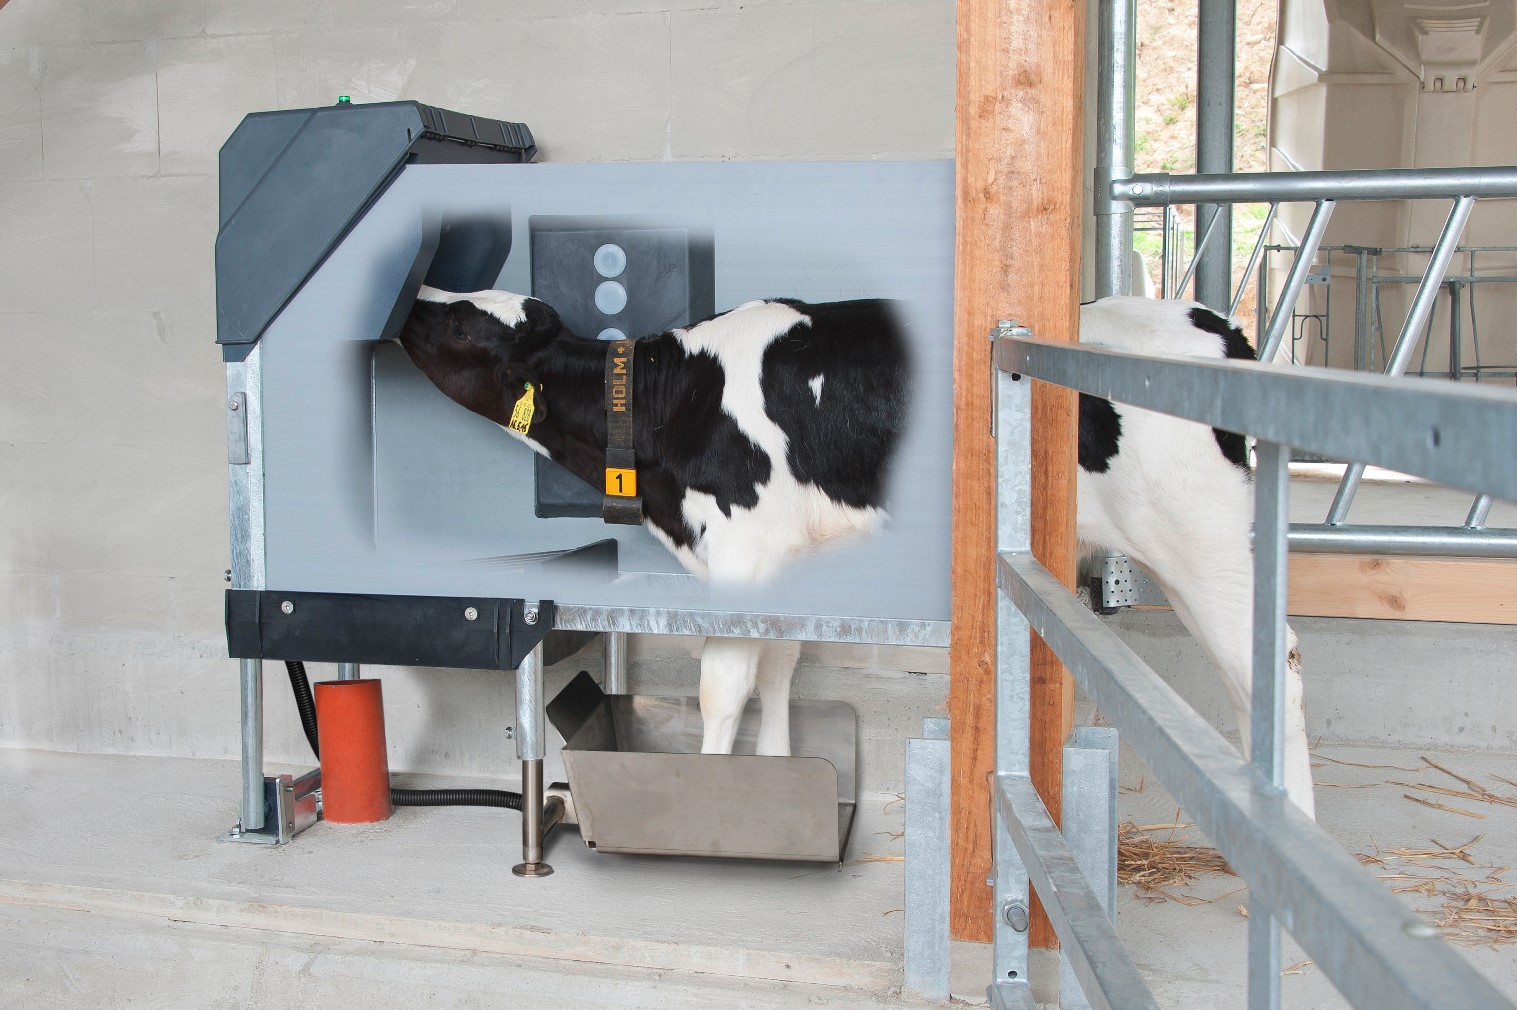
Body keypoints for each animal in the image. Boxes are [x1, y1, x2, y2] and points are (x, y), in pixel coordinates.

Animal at [400, 285, 1316, 818]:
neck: (670, 402)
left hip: (1202, 541)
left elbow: (722, 689)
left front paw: (707, 795)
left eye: (459, 319)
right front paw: (774, 777)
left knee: (1267, 669)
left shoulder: (740, 555)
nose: (409, 293)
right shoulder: (787, 564)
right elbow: (778, 670)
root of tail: (1211, 323)